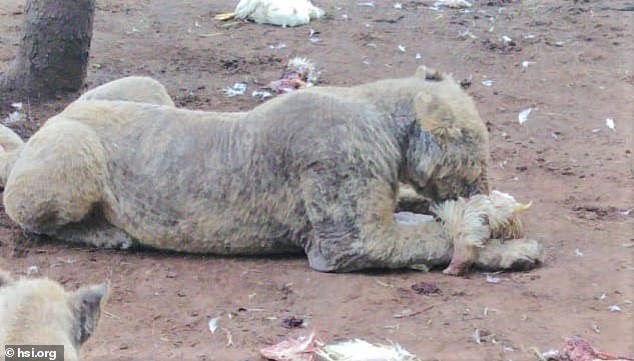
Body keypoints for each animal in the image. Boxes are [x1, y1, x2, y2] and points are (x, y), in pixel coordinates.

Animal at [0, 67, 540, 270]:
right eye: (476, 155)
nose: (482, 186)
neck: (383, 120)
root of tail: (48, 123)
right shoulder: (346, 241)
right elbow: (430, 238)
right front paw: (513, 245)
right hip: (72, 158)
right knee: (33, 221)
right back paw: (111, 236)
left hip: (145, 86)